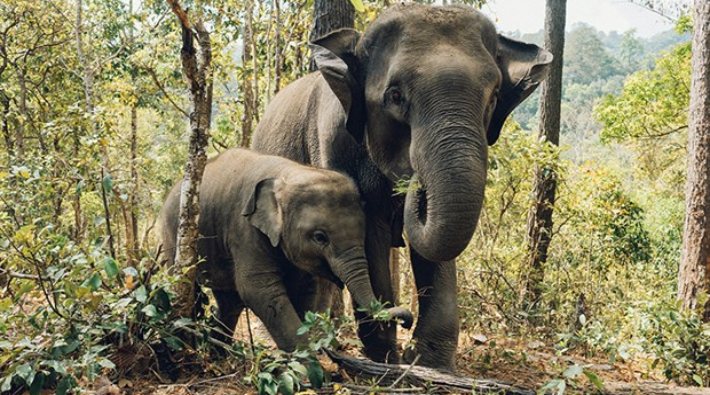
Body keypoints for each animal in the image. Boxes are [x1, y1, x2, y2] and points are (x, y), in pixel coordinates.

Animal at [161, 149, 414, 352]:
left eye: (363, 234)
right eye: (320, 237)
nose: (407, 321)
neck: (288, 174)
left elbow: (305, 290)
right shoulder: (245, 229)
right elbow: (258, 289)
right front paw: (311, 367)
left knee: (229, 301)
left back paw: (219, 353)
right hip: (172, 236)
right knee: (188, 287)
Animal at [250, 3, 552, 370]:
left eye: (494, 97)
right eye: (395, 96)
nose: (415, 181)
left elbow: (434, 247)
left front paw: (429, 362)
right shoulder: (333, 144)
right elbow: (370, 233)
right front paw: (387, 356)